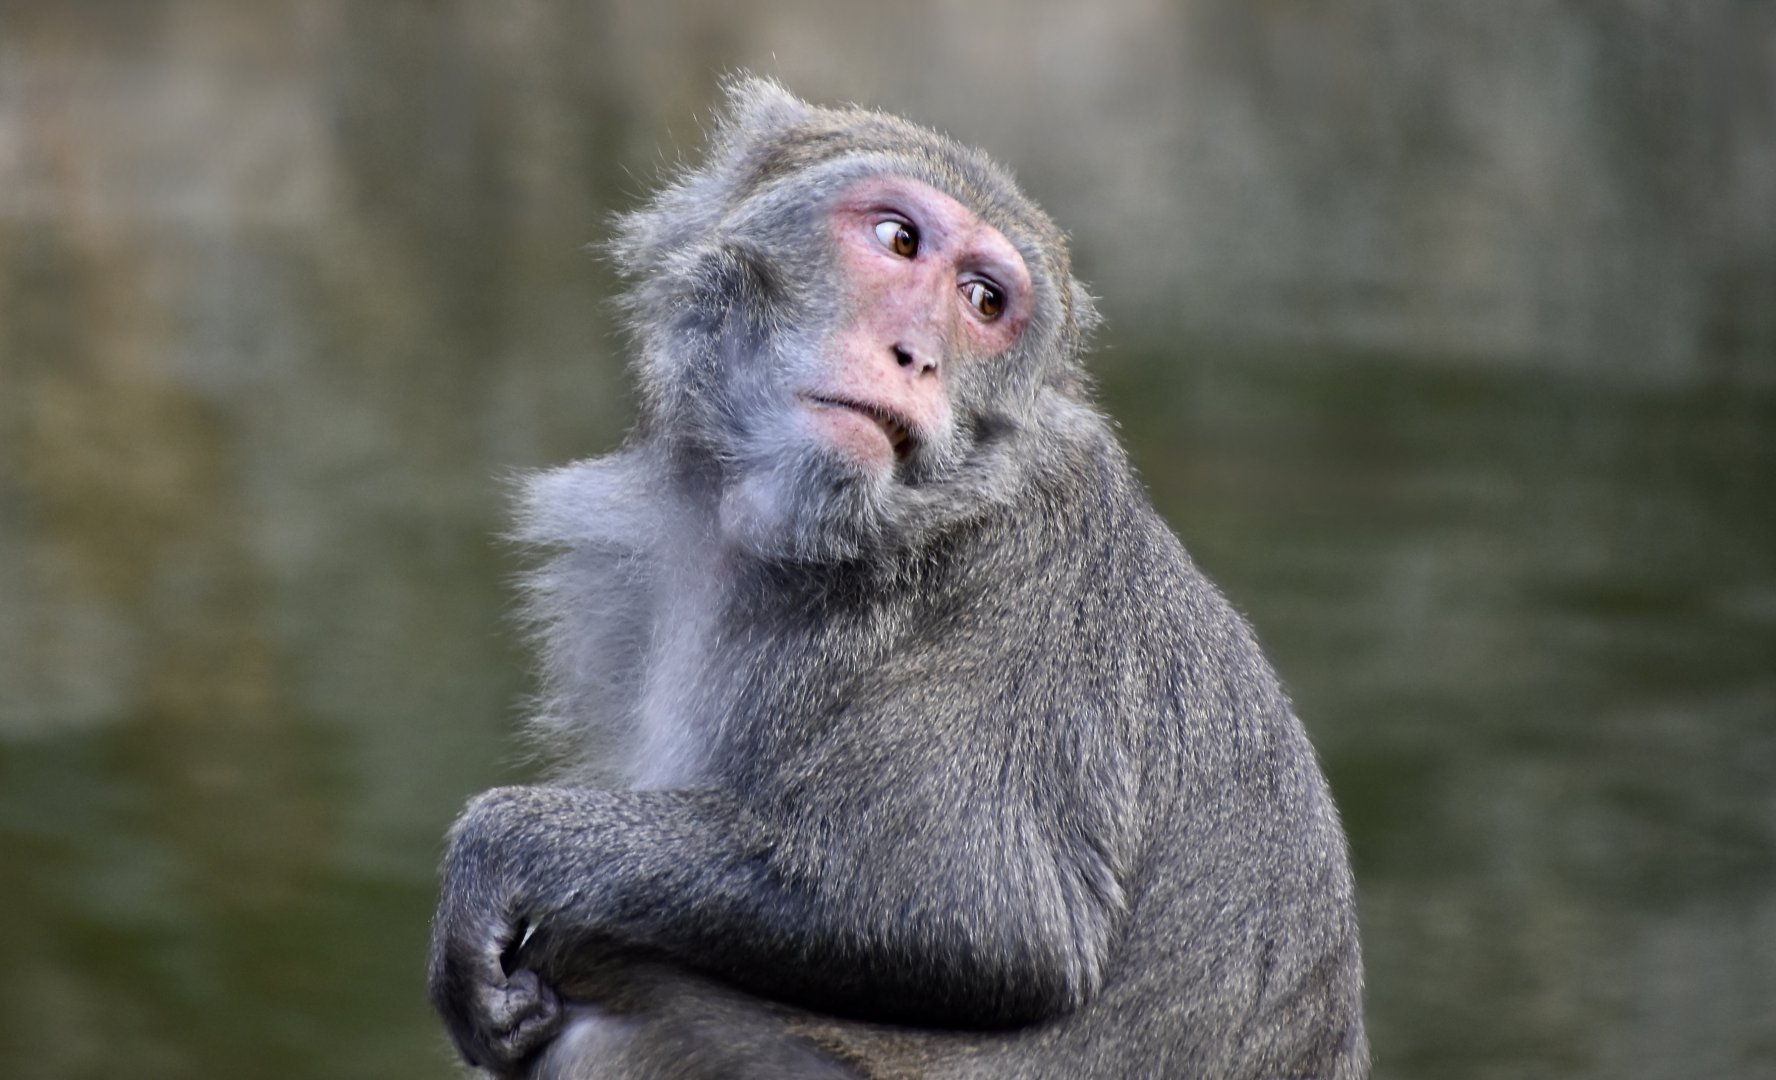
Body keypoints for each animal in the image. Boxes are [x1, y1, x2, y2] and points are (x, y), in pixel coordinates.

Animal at [426, 77, 1368, 1080]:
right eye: (899, 240)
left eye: (983, 300)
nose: (916, 353)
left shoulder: (1015, 602)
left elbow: (983, 916)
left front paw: (502, 848)